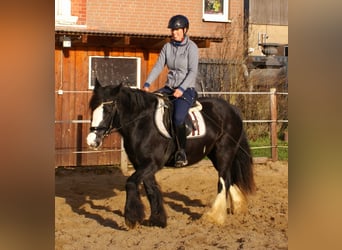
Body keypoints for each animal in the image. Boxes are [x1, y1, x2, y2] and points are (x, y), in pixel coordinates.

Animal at [87, 80, 255, 229]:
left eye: (108, 110)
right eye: (92, 108)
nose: (92, 140)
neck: (142, 123)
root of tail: (232, 109)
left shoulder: (152, 164)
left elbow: (130, 183)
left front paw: (132, 218)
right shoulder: (142, 165)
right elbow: (151, 189)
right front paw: (157, 220)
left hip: (224, 151)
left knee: (223, 180)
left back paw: (214, 217)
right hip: (214, 153)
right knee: (228, 178)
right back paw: (237, 206)